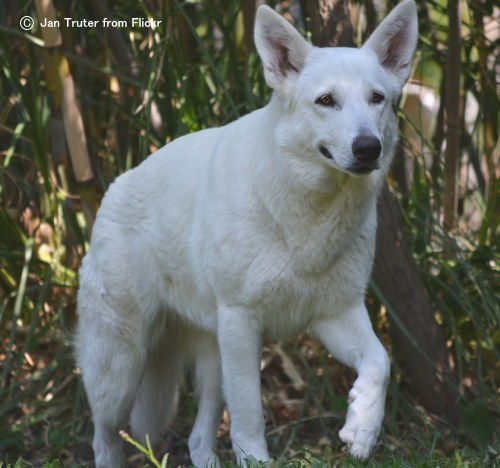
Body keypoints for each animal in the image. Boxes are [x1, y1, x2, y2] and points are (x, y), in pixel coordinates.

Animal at [74, 1, 418, 466]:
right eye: (326, 101)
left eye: (377, 99)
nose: (368, 148)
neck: (305, 215)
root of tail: (114, 188)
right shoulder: (242, 323)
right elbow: (250, 415)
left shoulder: (335, 313)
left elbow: (380, 363)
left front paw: (361, 430)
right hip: (121, 370)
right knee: (105, 438)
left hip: (211, 357)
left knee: (197, 439)